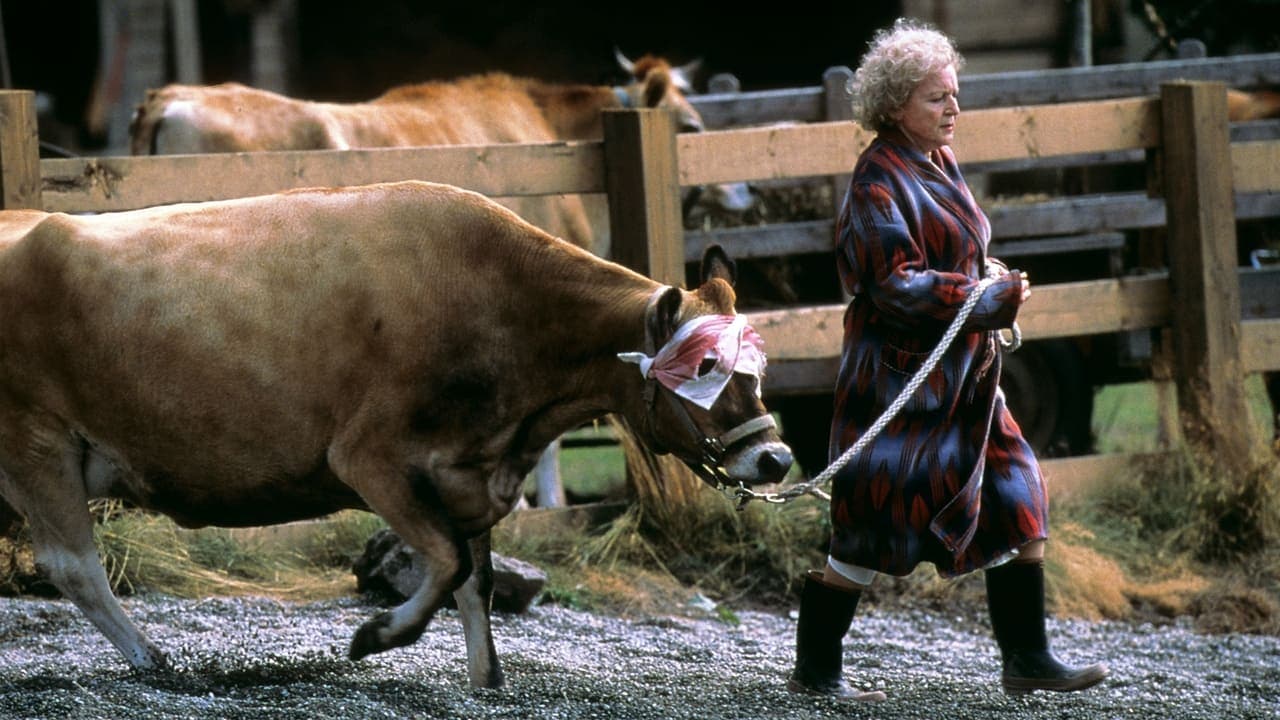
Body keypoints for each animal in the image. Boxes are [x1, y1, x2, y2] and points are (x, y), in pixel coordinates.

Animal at [0, 178, 788, 681]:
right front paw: (377, 634)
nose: (776, 459)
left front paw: (485, 679)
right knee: (73, 563)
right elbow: (445, 563)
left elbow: (476, 579)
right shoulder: (369, 458)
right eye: (708, 365)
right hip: (36, 440)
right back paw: (151, 659)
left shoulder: (469, 473)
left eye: (758, 362)